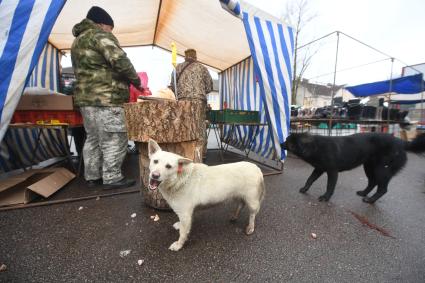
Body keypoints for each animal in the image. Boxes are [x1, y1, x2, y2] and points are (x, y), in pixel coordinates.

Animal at [282, 133, 424, 204]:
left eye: (288, 142)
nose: (281, 143)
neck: (315, 147)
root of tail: (401, 142)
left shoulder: (332, 171)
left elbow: (330, 186)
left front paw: (325, 197)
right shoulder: (319, 168)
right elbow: (310, 179)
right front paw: (305, 189)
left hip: (381, 169)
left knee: (382, 188)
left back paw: (370, 200)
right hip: (369, 167)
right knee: (372, 182)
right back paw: (364, 193)